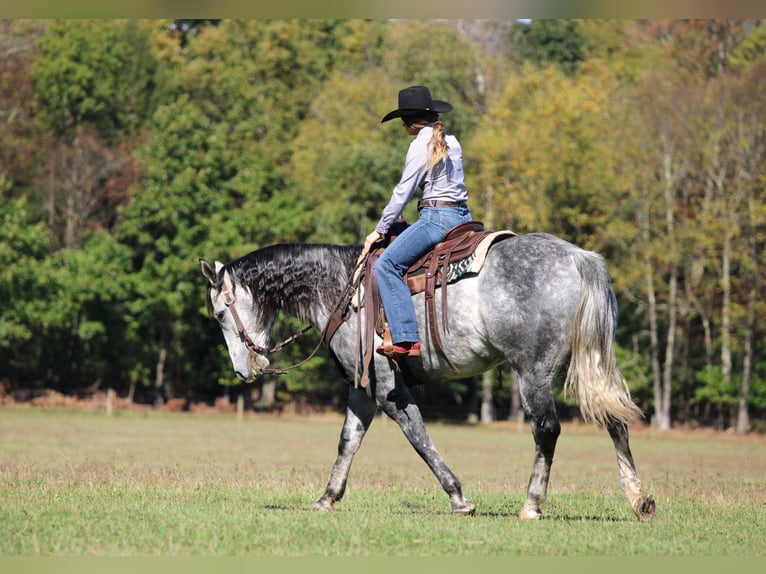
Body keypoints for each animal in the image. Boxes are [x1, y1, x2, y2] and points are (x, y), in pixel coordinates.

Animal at [200, 231, 656, 522]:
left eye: (220, 313)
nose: (242, 370)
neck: (343, 291)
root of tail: (579, 257)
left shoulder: (386, 387)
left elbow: (417, 435)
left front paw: (458, 497)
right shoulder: (361, 390)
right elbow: (348, 441)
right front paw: (327, 498)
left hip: (533, 372)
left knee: (546, 429)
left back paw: (531, 505)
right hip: (590, 363)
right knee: (615, 421)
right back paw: (639, 500)